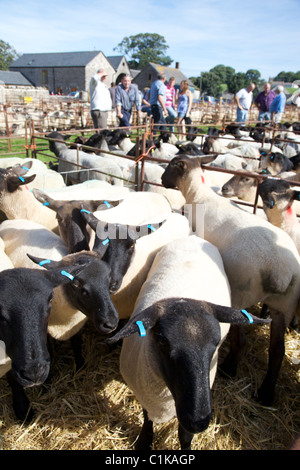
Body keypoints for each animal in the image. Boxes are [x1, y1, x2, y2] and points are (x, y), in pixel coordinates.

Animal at [106, 237, 268, 450]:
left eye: (217, 342)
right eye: (162, 340)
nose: (198, 421)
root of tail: (193, 238)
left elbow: (184, 436)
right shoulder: (145, 392)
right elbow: (146, 416)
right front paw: (144, 440)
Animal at [162, 156, 300, 406]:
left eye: (171, 166)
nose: (160, 179)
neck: (198, 195)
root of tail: (280, 272)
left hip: (241, 291)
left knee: (242, 338)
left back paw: (229, 368)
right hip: (285, 305)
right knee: (277, 351)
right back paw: (266, 394)